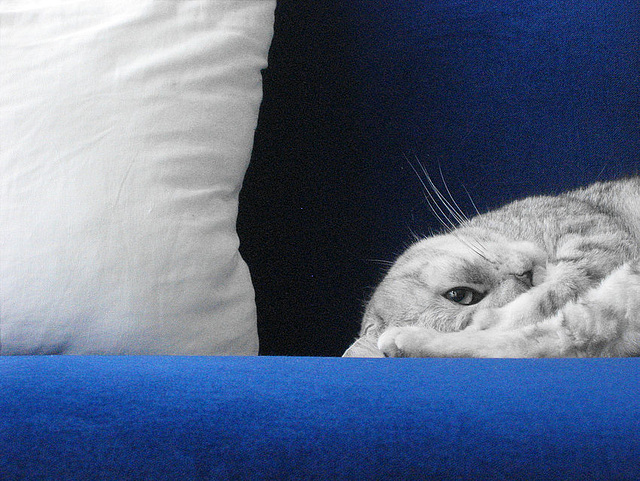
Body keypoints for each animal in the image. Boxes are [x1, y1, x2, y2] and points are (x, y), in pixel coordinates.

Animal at [344, 175, 640, 356]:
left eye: (458, 295)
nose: (526, 275)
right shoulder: (598, 249)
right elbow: (552, 294)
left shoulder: (595, 237)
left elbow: (556, 288)